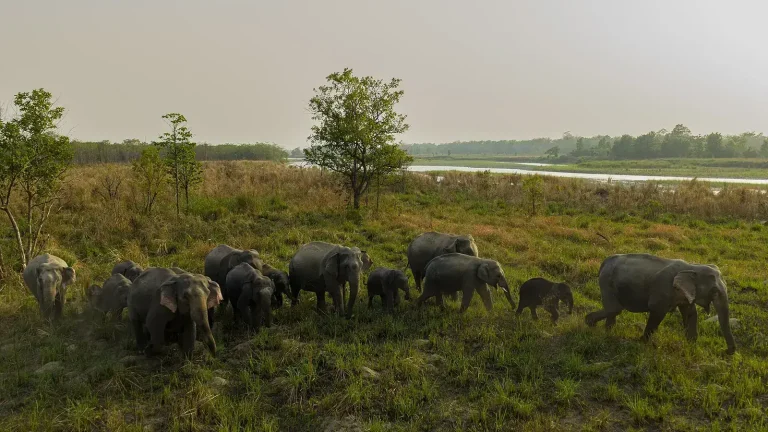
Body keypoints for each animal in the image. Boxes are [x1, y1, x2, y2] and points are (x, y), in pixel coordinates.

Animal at [585, 254, 735, 355]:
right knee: (614, 309)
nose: (725, 351)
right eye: (714, 291)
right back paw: (591, 323)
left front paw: (692, 346)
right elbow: (657, 311)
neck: (692, 266)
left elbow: (691, 313)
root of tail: (604, 262)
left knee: (613, 310)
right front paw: (642, 342)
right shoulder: (662, 291)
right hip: (607, 282)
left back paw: (604, 330)